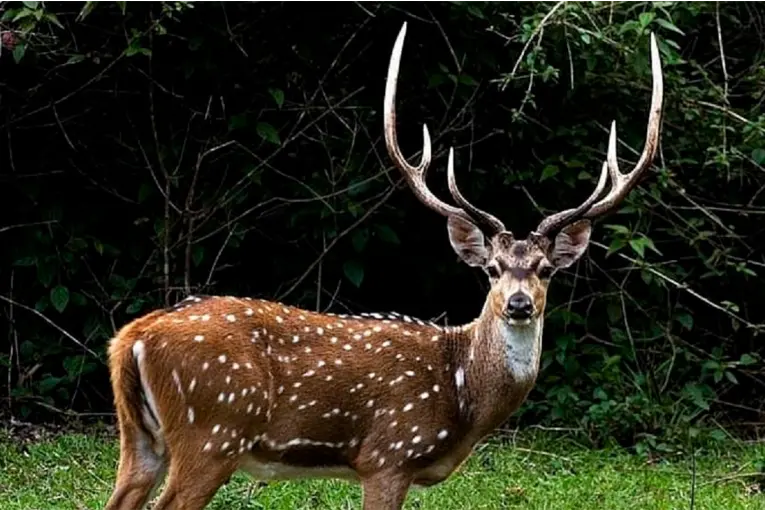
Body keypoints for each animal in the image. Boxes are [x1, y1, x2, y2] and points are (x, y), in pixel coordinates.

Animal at [104, 21, 664, 510]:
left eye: (547, 269)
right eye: (492, 269)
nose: (520, 304)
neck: (462, 393)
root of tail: (131, 338)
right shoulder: (389, 453)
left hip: (140, 437)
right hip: (213, 428)